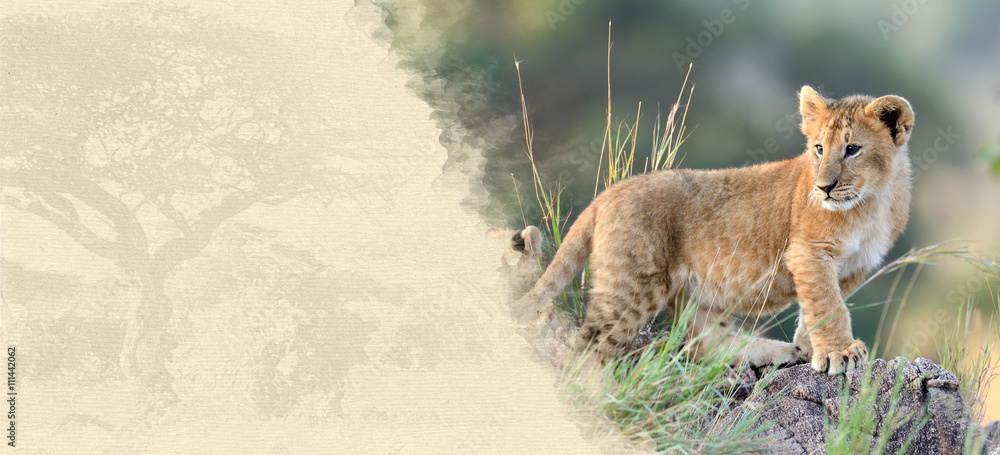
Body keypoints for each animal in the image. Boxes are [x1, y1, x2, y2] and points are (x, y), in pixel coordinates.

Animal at [514, 86, 915, 374]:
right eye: (818, 148)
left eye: (852, 149)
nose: (824, 188)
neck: (870, 202)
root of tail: (605, 196)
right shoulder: (809, 251)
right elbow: (827, 305)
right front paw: (838, 353)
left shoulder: (855, 266)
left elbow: (821, 305)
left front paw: (808, 347)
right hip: (632, 288)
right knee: (587, 345)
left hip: (695, 295)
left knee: (704, 342)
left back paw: (778, 352)